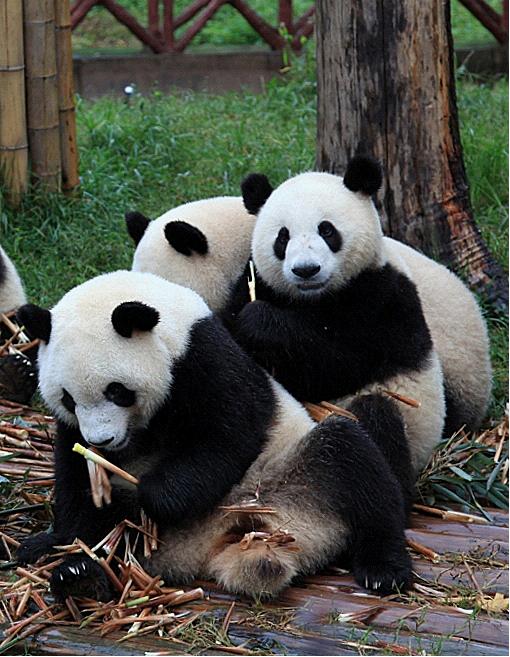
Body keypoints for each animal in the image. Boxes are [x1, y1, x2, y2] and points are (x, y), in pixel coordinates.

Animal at [16, 270, 412, 599]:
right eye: (68, 398)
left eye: (117, 391)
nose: (102, 442)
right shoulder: (74, 428)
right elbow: (75, 478)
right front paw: (63, 543)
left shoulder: (203, 357)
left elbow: (228, 436)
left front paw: (154, 495)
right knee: (119, 543)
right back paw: (80, 576)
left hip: (295, 475)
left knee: (353, 460)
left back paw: (384, 568)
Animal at [225, 156, 448, 476]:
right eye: (283, 237)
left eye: (327, 230)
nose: (306, 270)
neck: (314, 298)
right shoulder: (255, 280)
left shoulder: (381, 298)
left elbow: (339, 362)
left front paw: (260, 321)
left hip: (410, 422)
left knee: (376, 417)